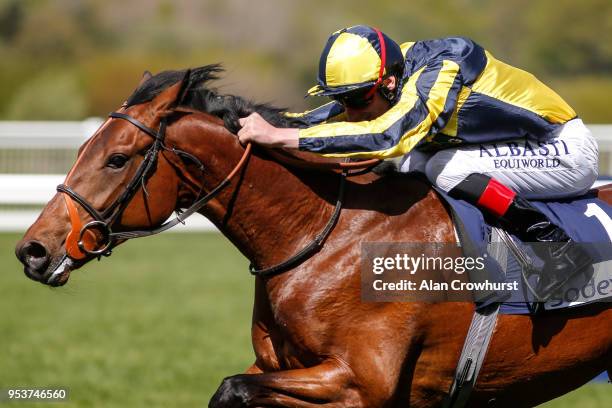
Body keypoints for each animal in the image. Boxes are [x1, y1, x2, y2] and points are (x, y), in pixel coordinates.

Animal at [15, 65, 612, 406]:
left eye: (116, 158)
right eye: (82, 149)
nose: (32, 250)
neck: (326, 237)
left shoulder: (360, 383)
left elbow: (230, 390)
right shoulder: (281, 367)